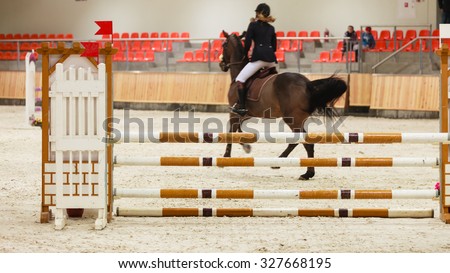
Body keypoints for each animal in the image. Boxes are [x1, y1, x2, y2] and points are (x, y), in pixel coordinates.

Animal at [220, 30, 346, 178]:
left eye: (224, 45)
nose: (221, 64)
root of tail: (306, 83)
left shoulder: (234, 113)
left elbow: (231, 132)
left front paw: (226, 156)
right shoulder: (245, 114)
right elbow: (239, 132)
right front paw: (246, 146)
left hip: (292, 119)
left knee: (302, 142)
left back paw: (289, 166)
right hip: (298, 119)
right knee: (303, 141)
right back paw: (303, 171)